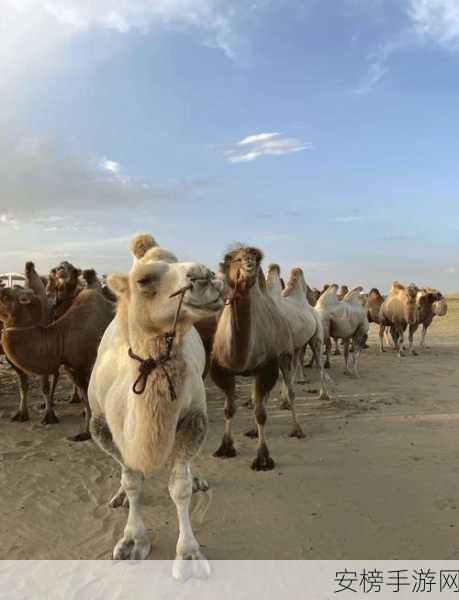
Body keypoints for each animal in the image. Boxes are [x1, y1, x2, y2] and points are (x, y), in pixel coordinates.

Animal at [0, 286, 114, 440]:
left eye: (4, 296)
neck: (62, 336)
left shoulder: (86, 366)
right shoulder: (71, 367)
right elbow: (86, 399)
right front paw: (86, 433)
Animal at [87, 239, 223, 580]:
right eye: (144, 280)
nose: (205, 277)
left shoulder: (195, 418)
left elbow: (180, 487)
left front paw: (188, 555)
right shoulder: (100, 426)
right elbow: (132, 480)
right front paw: (132, 541)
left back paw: (197, 478)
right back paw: (120, 497)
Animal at [210, 246, 304, 472]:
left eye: (255, 257)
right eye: (232, 258)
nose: (249, 264)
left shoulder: (266, 367)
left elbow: (261, 413)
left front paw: (262, 458)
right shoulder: (221, 369)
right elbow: (229, 409)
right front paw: (225, 447)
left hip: (285, 355)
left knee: (289, 391)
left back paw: (297, 430)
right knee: (258, 399)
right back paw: (253, 431)